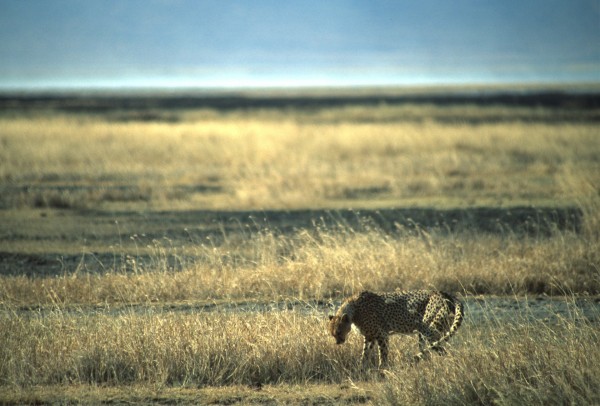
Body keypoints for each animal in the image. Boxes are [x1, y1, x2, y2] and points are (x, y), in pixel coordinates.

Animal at [328, 288, 464, 368]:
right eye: (333, 334)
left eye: (339, 332)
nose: (338, 342)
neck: (354, 309)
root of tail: (444, 293)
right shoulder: (370, 336)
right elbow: (365, 353)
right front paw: (361, 367)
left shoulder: (382, 334)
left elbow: (383, 352)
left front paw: (382, 369)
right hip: (425, 333)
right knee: (430, 349)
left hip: (429, 330)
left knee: (441, 349)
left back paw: (445, 364)